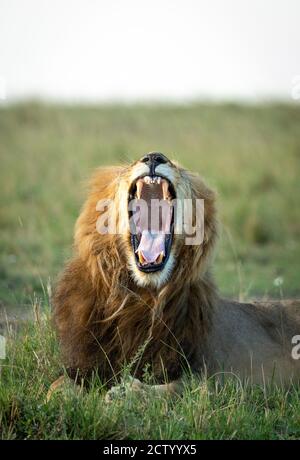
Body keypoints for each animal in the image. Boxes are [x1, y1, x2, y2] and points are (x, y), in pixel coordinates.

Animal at [49, 153, 300, 400]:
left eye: (177, 167)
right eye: (131, 165)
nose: (153, 157)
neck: (139, 297)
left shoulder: (219, 377)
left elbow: (180, 389)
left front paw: (127, 393)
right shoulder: (88, 363)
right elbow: (59, 384)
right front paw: (65, 396)